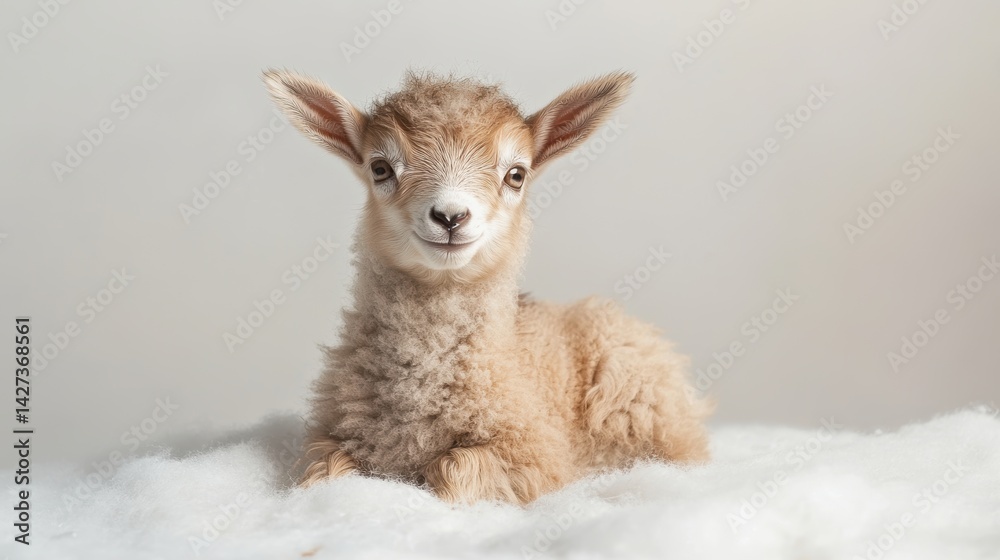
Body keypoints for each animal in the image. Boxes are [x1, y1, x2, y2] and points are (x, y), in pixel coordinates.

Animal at [263, 69, 712, 504]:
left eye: (516, 175)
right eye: (380, 168)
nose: (450, 216)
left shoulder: (533, 457)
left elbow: (452, 471)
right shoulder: (331, 438)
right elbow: (324, 475)